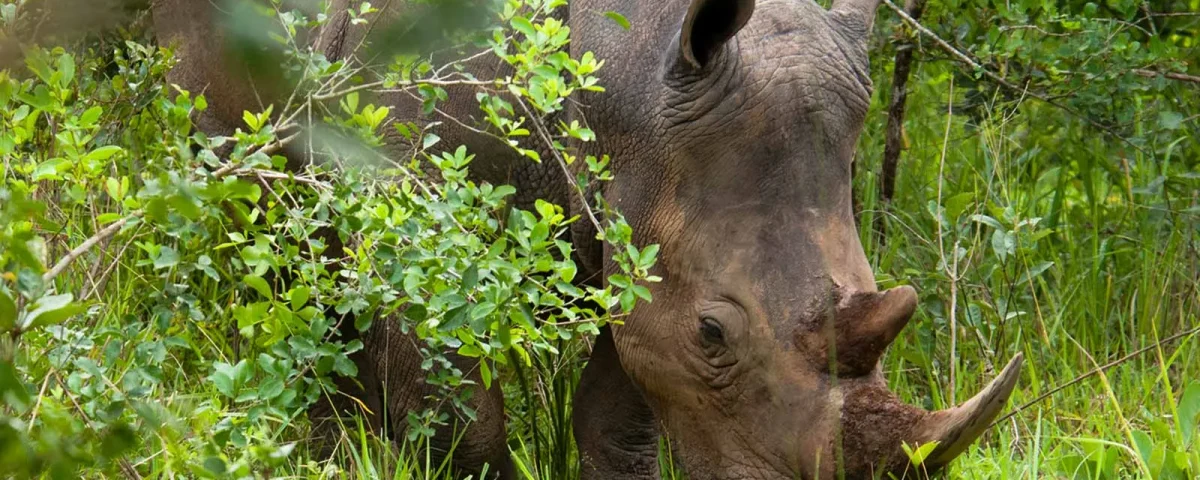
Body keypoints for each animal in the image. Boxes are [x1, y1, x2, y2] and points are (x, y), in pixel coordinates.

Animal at [152, 0, 1024, 478]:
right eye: (714, 333)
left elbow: (618, 410)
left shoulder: (642, 221)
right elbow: (461, 415)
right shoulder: (406, 195)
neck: (630, 76)